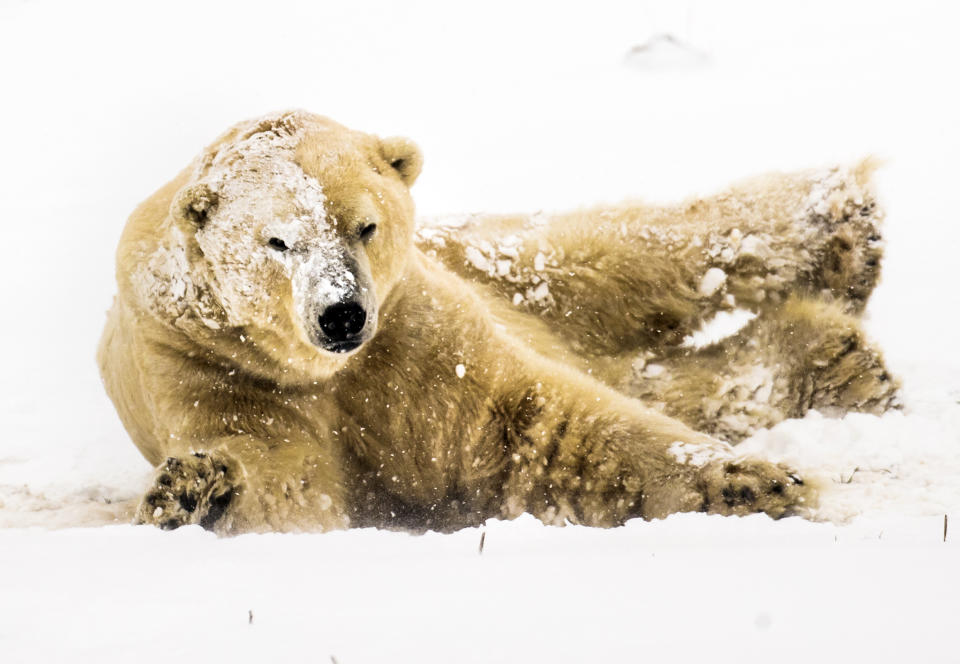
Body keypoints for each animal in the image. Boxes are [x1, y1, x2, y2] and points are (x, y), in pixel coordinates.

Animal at [95, 110, 892, 536]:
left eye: (366, 225)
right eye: (278, 240)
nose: (343, 314)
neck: (329, 370)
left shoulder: (413, 330)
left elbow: (536, 420)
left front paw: (754, 482)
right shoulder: (212, 365)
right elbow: (288, 481)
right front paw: (195, 490)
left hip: (482, 261)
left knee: (612, 255)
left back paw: (847, 227)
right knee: (665, 372)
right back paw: (841, 358)